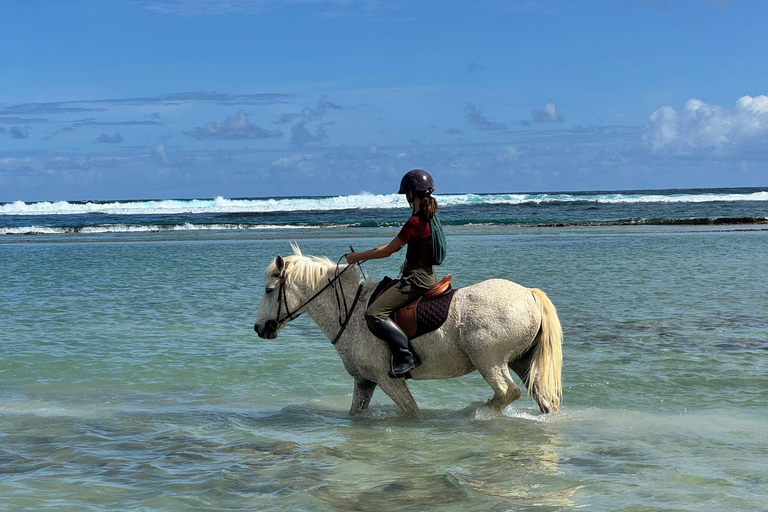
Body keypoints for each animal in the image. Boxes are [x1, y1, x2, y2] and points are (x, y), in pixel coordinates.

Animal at [253, 245, 563, 416]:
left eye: (269, 290)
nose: (259, 328)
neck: (352, 313)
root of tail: (528, 293)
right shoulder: (365, 381)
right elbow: (356, 413)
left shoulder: (388, 380)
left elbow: (411, 412)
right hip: (521, 362)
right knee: (543, 400)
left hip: (490, 361)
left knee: (507, 393)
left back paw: (475, 412)